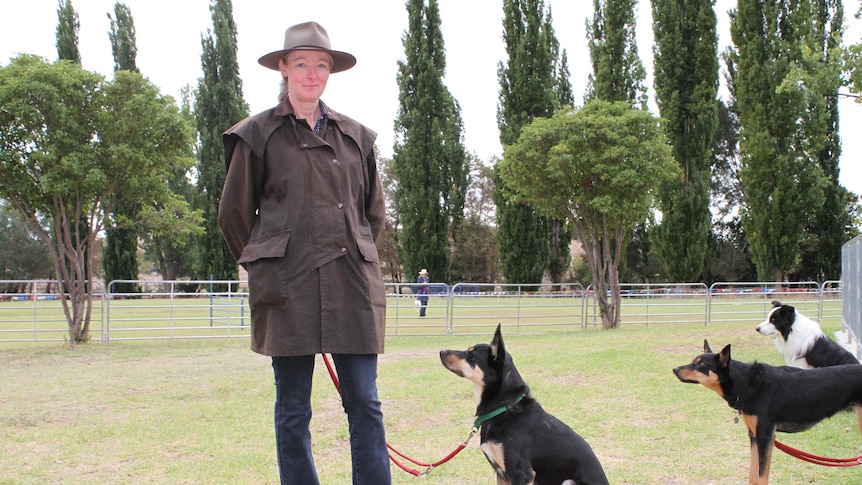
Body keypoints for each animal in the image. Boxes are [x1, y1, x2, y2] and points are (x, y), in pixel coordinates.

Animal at [438, 326, 608, 484]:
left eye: (471, 355)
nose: (441, 351)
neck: (504, 408)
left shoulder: (521, 472)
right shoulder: (502, 474)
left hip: (568, 481)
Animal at [676, 340, 862, 484]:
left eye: (701, 364)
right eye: (693, 360)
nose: (674, 369)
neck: (748, 384)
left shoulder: (765, 436)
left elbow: (761, 477)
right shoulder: (755, 436)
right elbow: (753, 477)